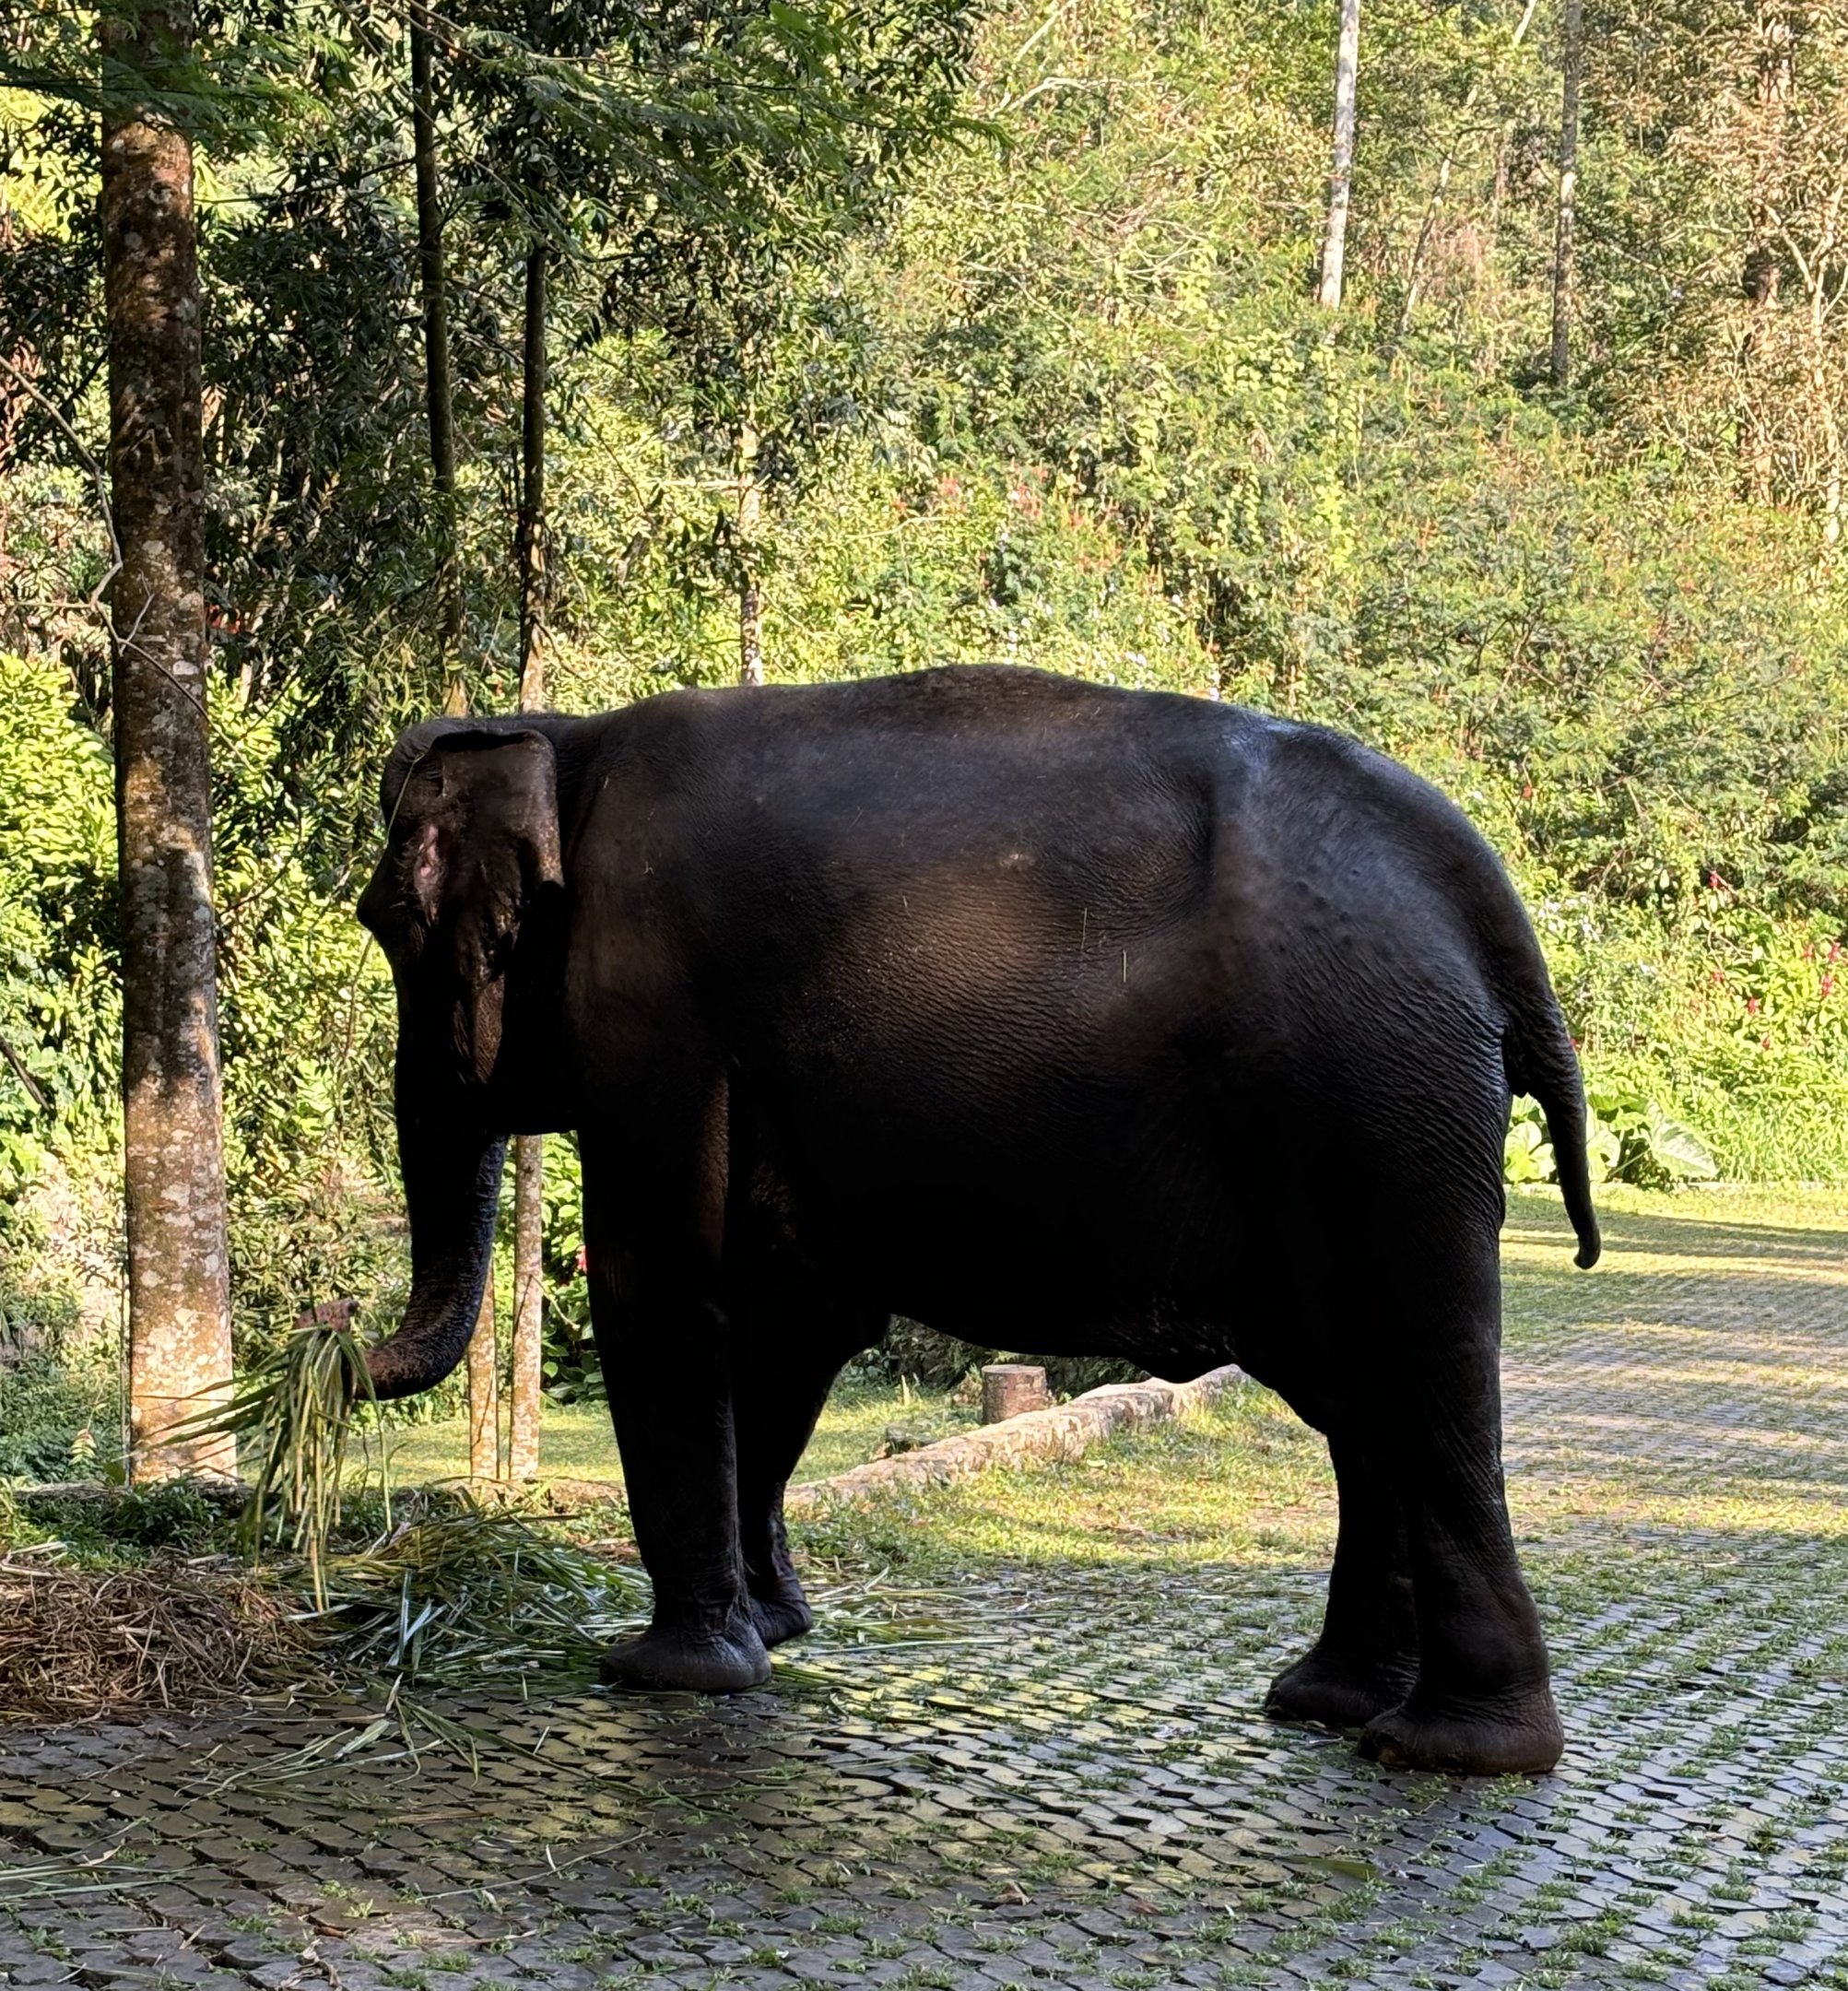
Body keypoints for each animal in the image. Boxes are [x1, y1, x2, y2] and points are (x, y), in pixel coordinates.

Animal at [355, 664, 1599, 1777]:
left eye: (390, 920)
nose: (325, 1337)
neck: (569, 735)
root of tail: (1486, 904)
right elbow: (789, 1328)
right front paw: (773, 1628)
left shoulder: (654, 1003)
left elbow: (659, 1282)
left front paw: (663, 1673)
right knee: (1363, 1398)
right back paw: (1328, 1704)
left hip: (1371, 1103)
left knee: (1418, 1377)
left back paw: (1450, 1750)